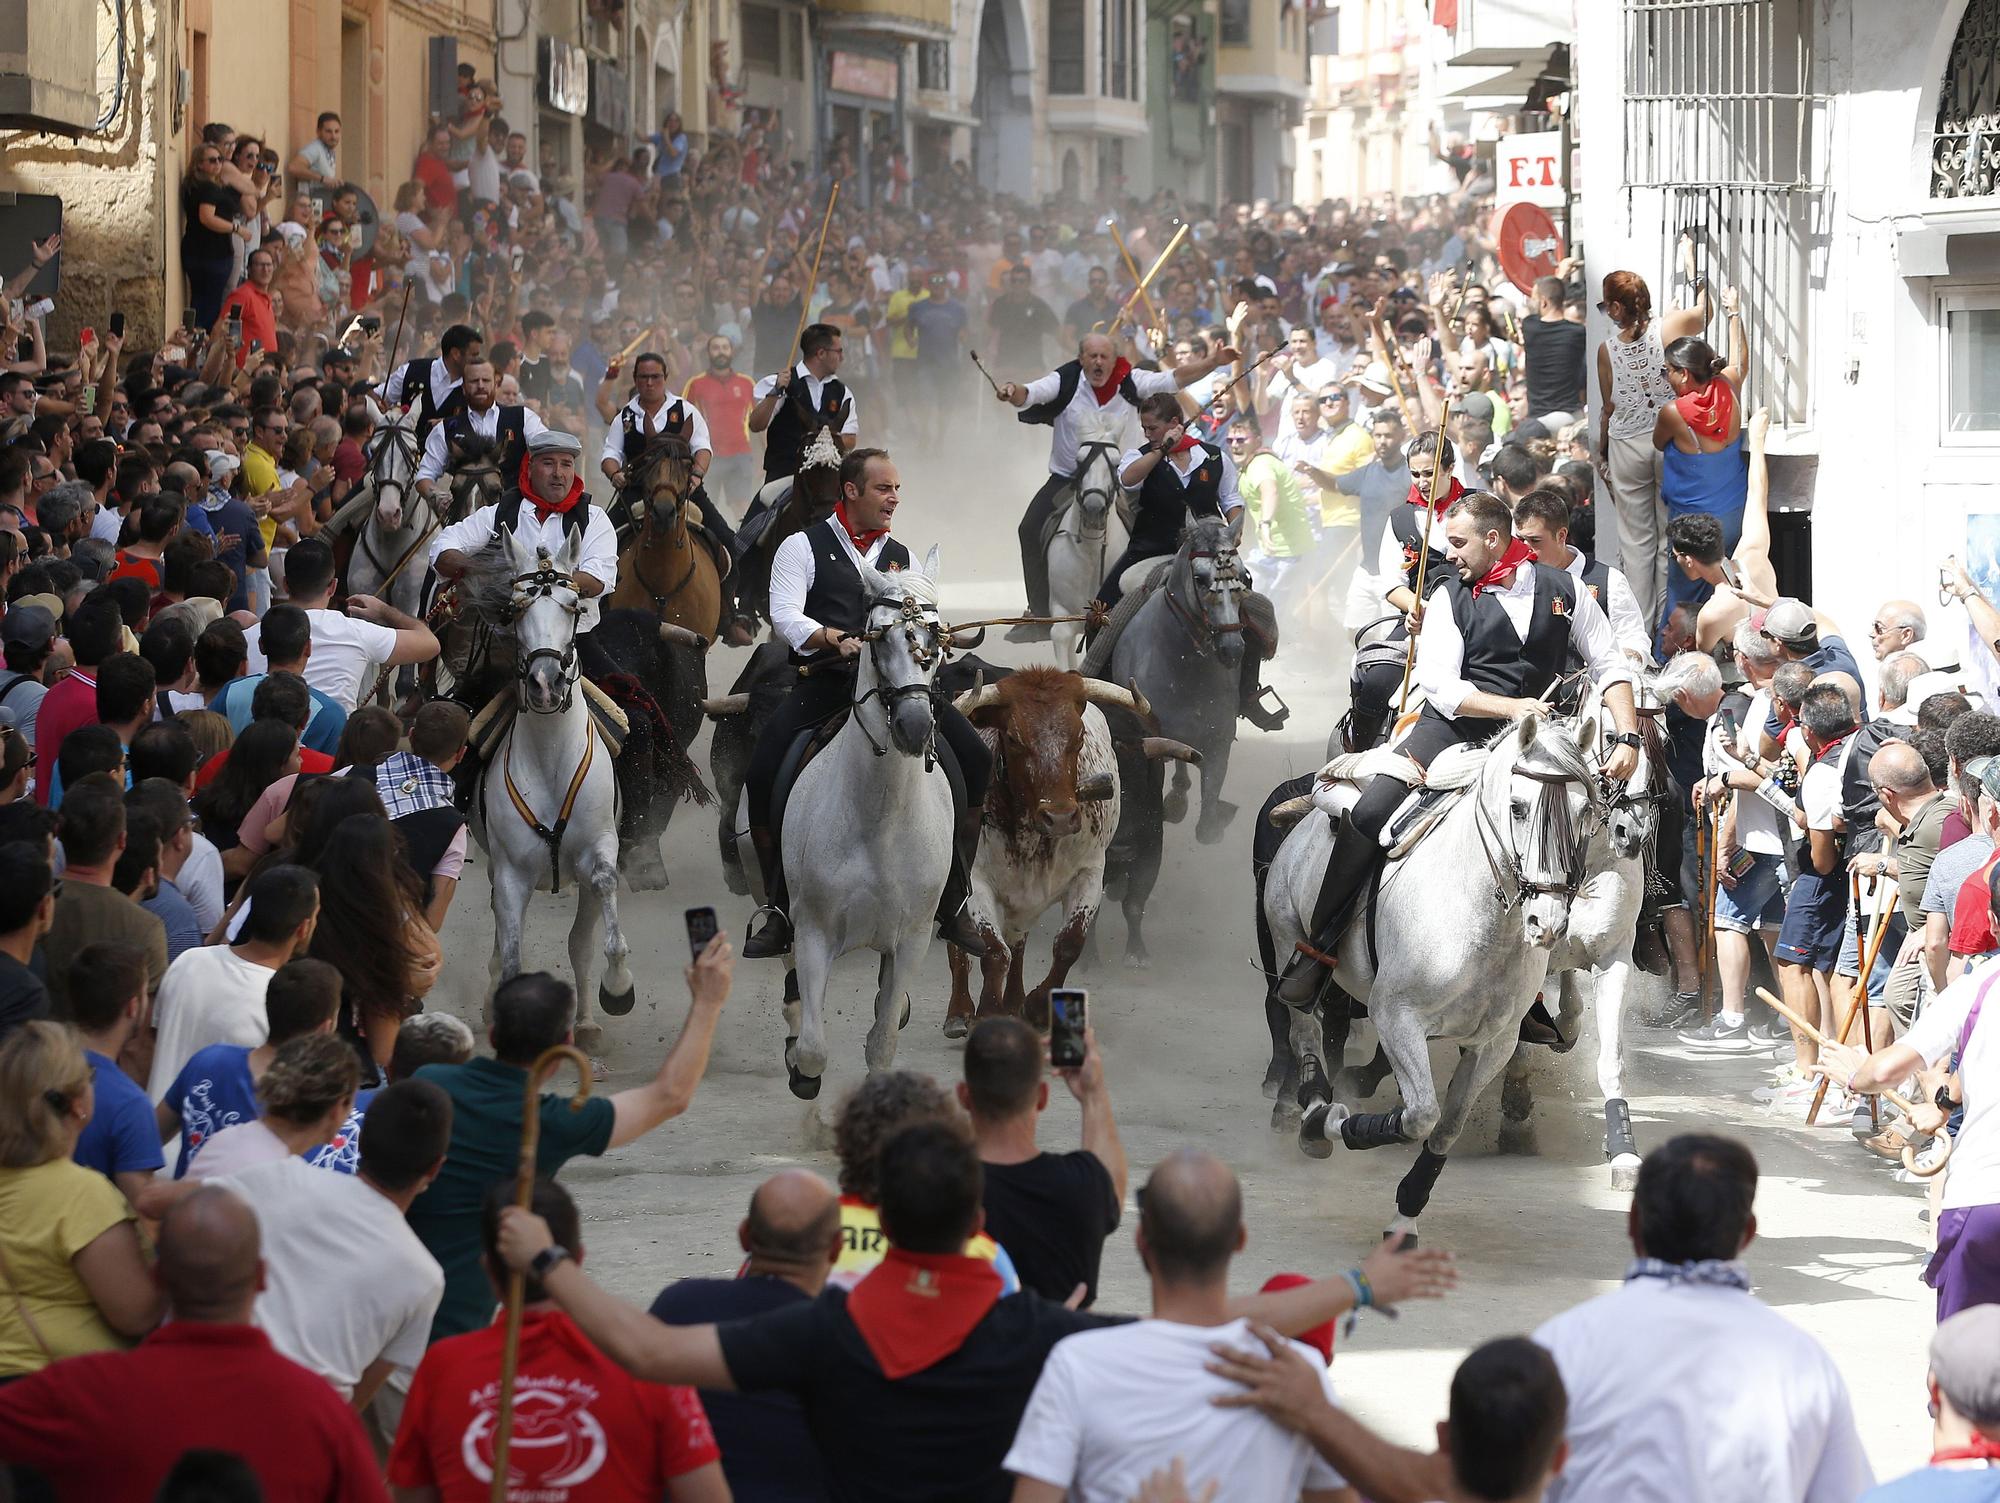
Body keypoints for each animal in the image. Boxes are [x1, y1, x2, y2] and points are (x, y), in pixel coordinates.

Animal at [1048, 411, 1128, 667]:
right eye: (1078, 461)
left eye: (1117, 463)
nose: (1094, 509)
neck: (1092, 552)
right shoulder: (1062, 608)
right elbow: (1060, 634)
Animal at [1264, 711, 1608, 1239]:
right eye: (1517, 807)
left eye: (1585, 811)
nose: (1546, 923)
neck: (1482, 922)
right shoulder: (1396, 1016)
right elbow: (1419, 1115)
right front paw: (1333, 1124)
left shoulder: (1494, 1042)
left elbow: (1445, 1126)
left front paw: (1405, 1216)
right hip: (1286, 937)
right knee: (1305, 1028)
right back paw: (1312, 1110)